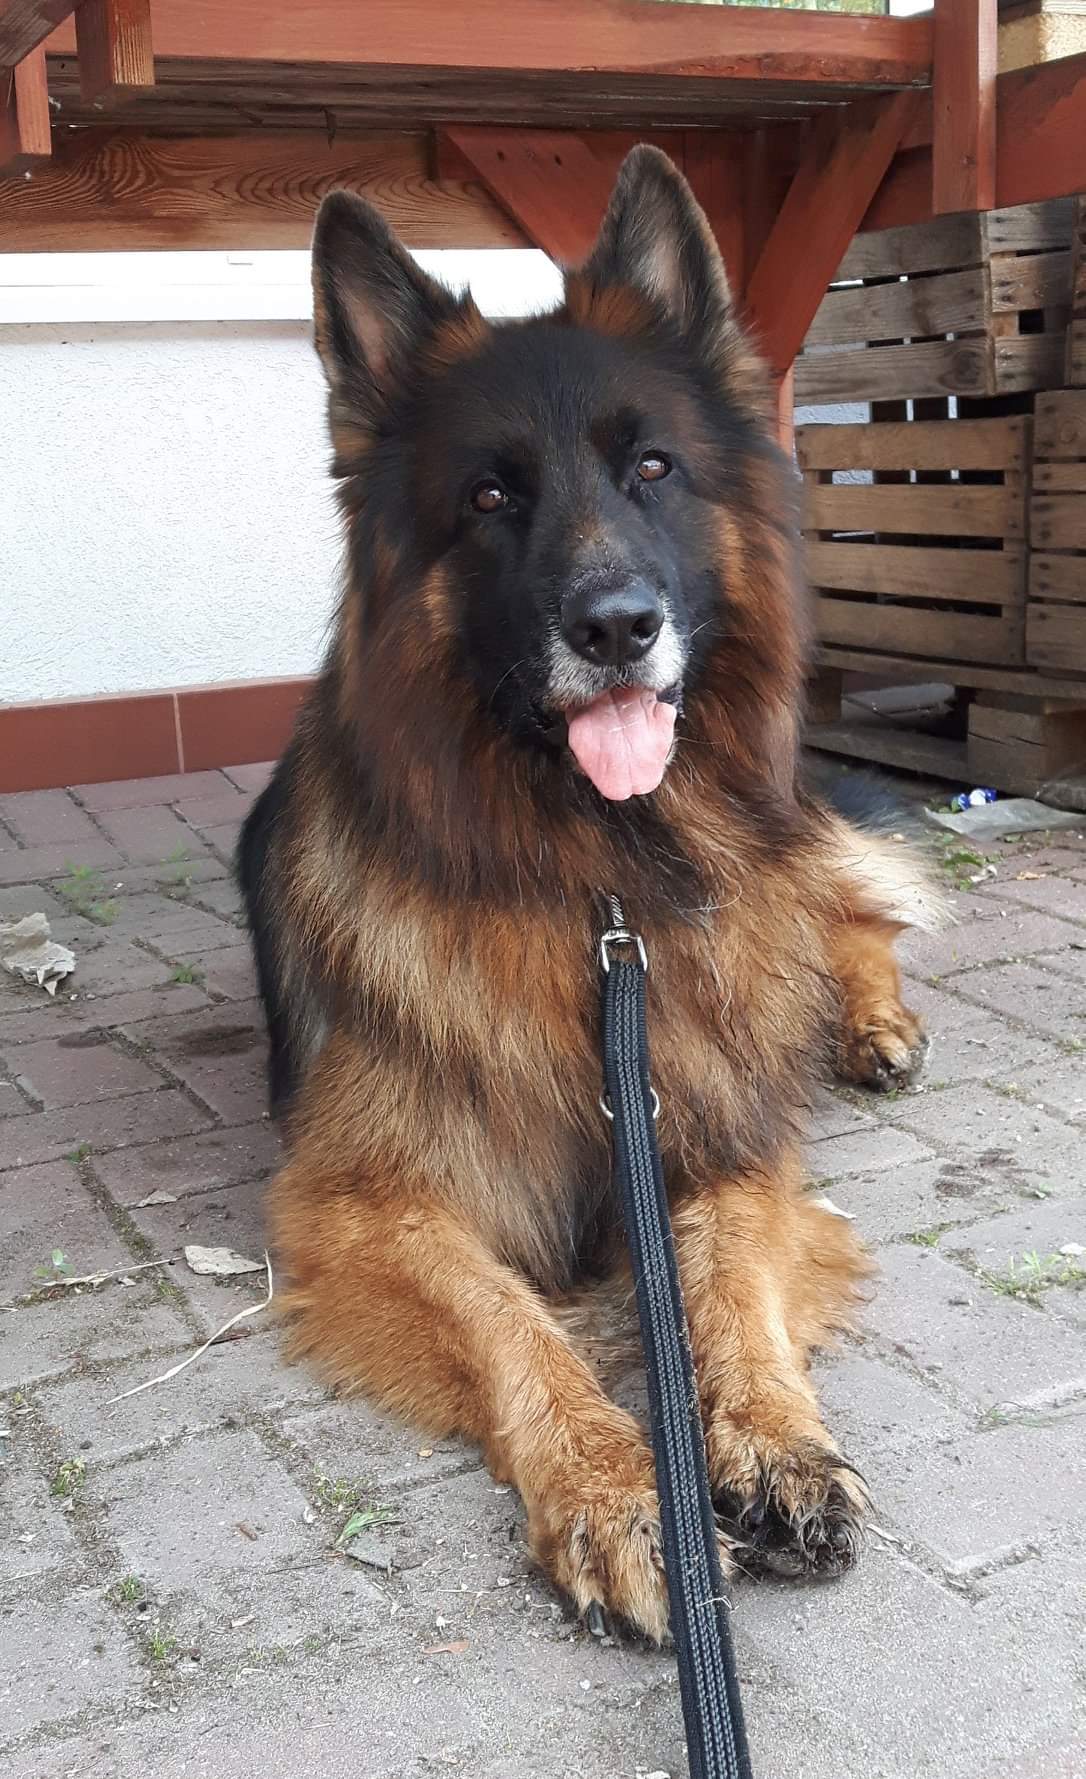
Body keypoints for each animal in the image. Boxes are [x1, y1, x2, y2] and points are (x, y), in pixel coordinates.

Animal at [238, 146, 937, 1641]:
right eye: (491, 498)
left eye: (653, 467)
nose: (616, 627)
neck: (595, 878)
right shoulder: (367, 1203)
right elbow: (512, 1320)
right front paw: (624, 1493)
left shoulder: (726, 1136)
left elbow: (729, 1278)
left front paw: (772, 1436)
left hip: (784, 858)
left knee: (847, 916)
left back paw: (873, 1025)